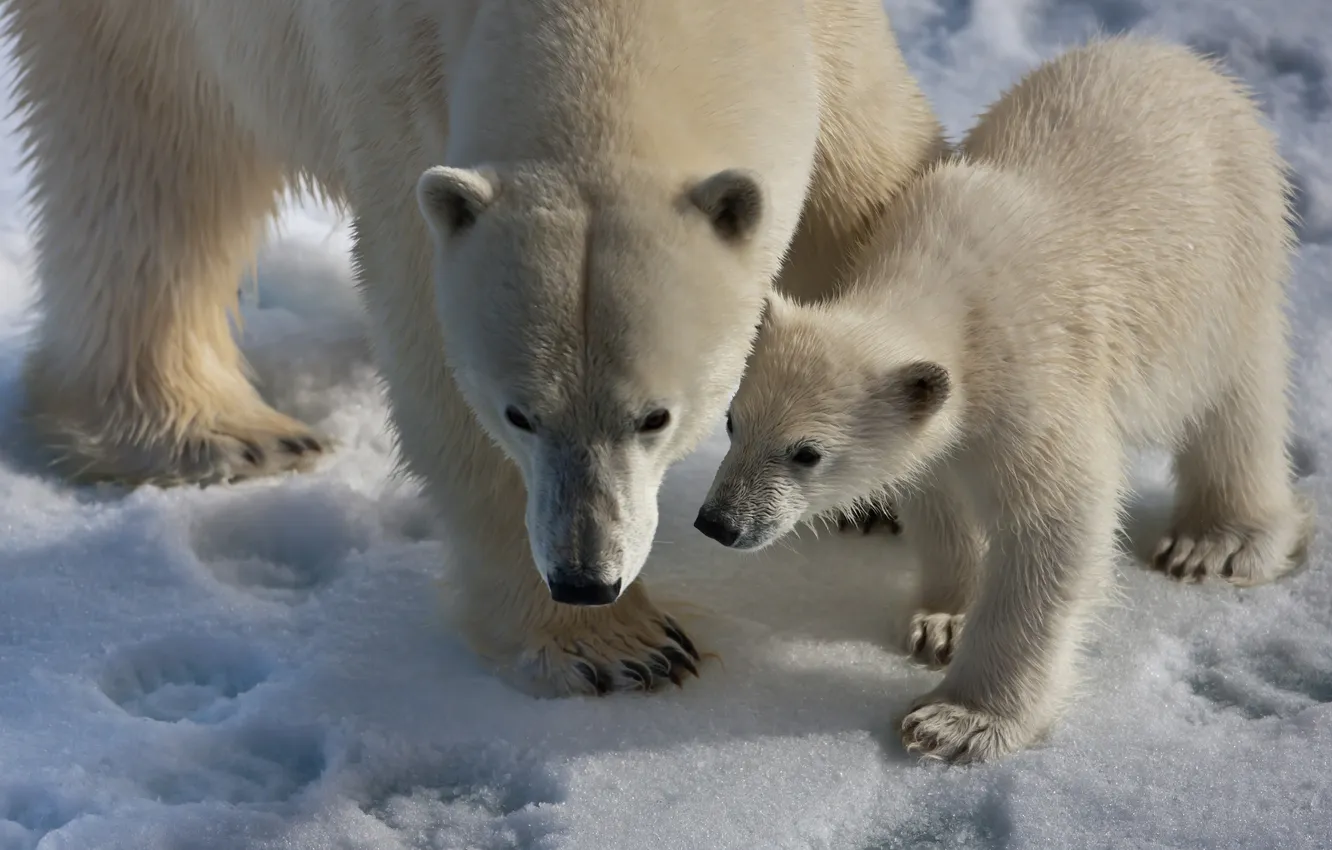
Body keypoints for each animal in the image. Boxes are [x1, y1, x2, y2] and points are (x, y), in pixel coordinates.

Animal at [1, 0, 945, 697]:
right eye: (518, 414)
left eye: (656, 417)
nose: (584, 575)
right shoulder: (394, 77)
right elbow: (428, 333)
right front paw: (616, 644)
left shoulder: (831, 30)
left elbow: (868, 184)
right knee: (149, 146)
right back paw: (217, 431)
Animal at [694, 36, 1314, 762]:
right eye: (733, 423)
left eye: (807, 452)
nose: (719, 522)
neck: (952, 286)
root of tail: (1177, 55)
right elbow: (940, 497)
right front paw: (941, 622)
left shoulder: (1036, 376)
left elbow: (1054, 526)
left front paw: (958, 720)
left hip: (1228, 263)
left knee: (1237, 402)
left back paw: (1214, 544)